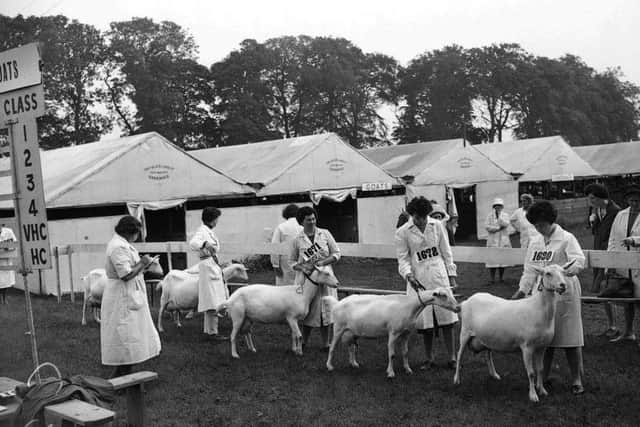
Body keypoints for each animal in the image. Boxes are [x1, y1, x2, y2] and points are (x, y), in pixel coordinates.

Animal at [324, 290, 460, 380]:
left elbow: (405, 352)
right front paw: (390, 373)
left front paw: (408, 369)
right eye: (444, 296)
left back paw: (354, 364)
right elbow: (392, 354)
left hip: (353, 331)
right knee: (332, 348)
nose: (458, 308)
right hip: (338, 328)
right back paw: (329, 366)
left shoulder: (406, 334)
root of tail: (337, 303)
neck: (410, 306)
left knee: (352, 348)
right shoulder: (393, 333)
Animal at [452, 262, 572, 402]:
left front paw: (542, 390)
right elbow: (531, 373)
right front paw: (533, 395)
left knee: (488, 355)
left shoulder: (542, 347)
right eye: (548, 273)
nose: (563, 285)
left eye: (564, 272)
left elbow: (540, 369)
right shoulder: (527, 346)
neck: (539, 309)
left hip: (487, 336)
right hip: (465, 332)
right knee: (459, 355)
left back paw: (494, 374)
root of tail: (466, 301)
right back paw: (456, 379)